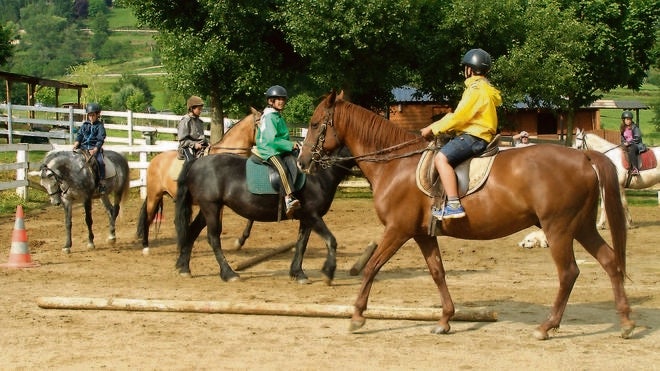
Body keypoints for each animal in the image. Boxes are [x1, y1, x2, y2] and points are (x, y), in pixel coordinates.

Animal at [298, 91, 636, 342]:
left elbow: (371, 268)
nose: (301, 162)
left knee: (568, 273)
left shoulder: (397, 230)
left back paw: (546, 326)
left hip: (559, 229)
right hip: (581, 227)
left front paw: (357, 316)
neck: (395, 165)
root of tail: (584, 156)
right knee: (610, 261)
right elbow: (437, 272)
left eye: (314, 125)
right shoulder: (421, 234)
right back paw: (626, 322)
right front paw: (445, 319)